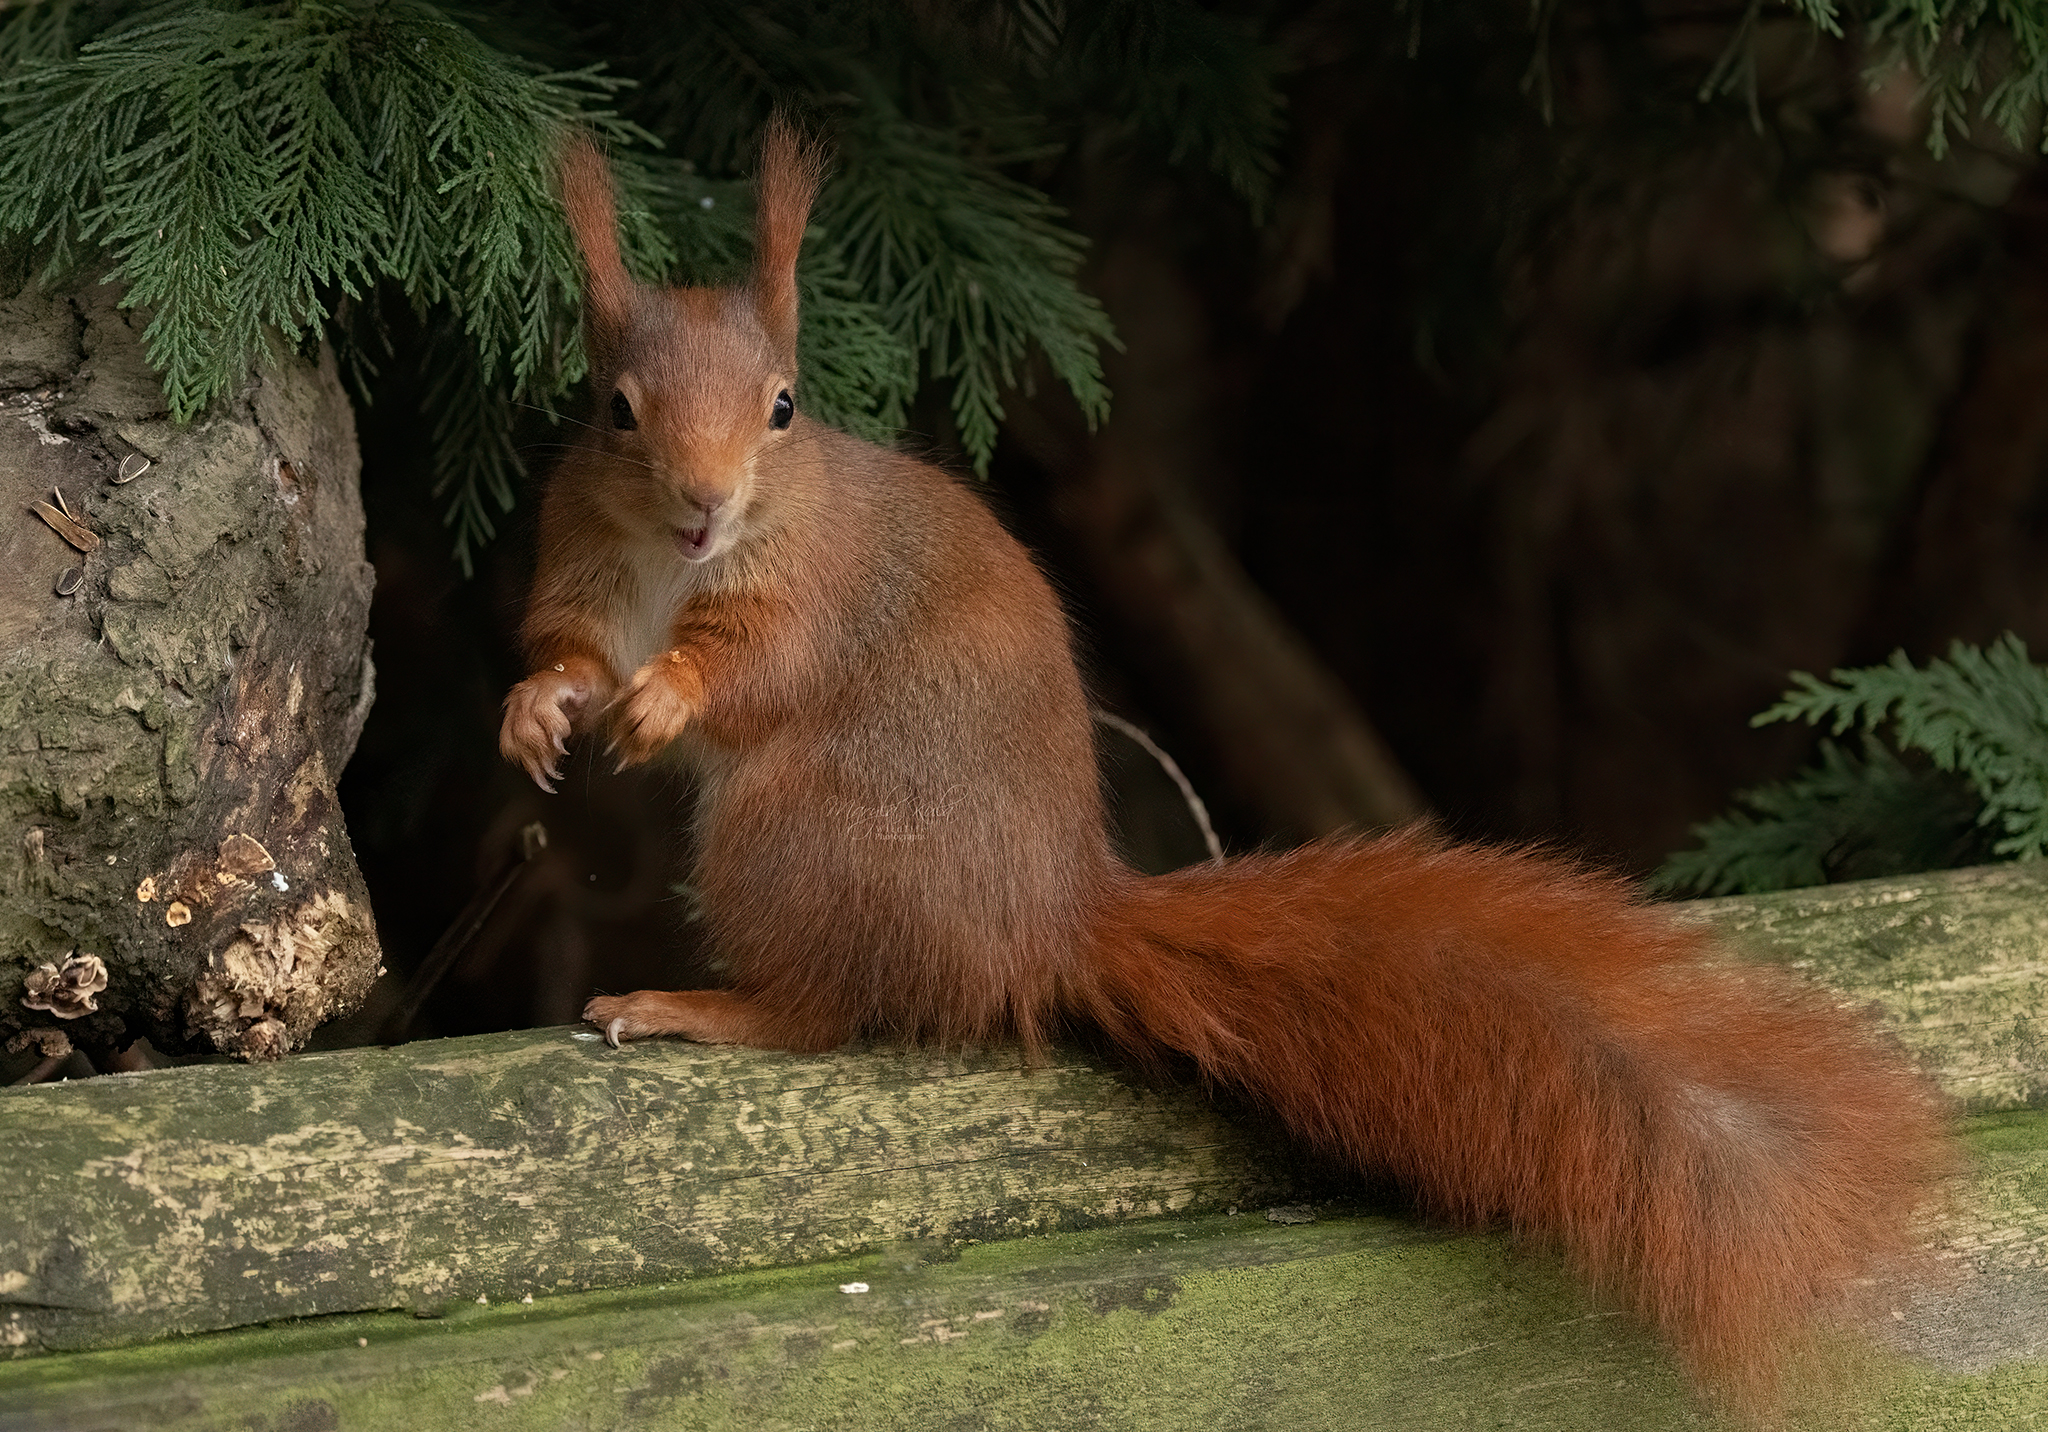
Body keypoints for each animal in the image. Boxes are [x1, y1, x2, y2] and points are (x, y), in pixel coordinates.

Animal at [499, 125, 1949, 1425]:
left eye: (784, 407)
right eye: (614, 409)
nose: (704, 505)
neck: (675, 563)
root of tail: (1048, 922)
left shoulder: (810, 594)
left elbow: (750, 667)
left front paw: (667, 696)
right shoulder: (579, 564)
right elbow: (566, 650)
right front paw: (535, 715)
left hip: (794, 838)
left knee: (824, 1012)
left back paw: (694, 1005)